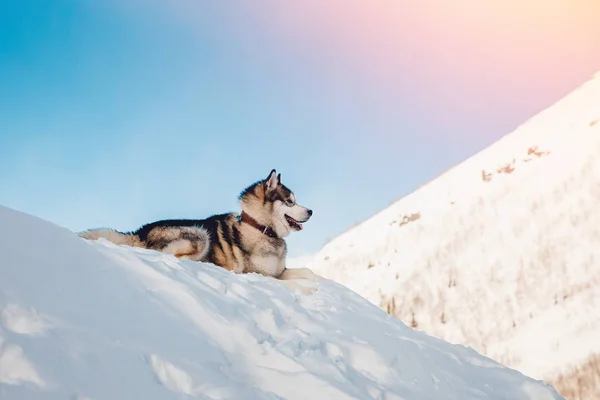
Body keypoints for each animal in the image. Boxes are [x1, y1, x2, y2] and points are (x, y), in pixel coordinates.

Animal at [81, 169, 322, 282]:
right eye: (290, 201)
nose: (311, 211)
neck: (259, 227)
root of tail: (139, 232)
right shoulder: (260, 274)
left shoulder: (281, 271)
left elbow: (309, 271)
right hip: (199, 234)